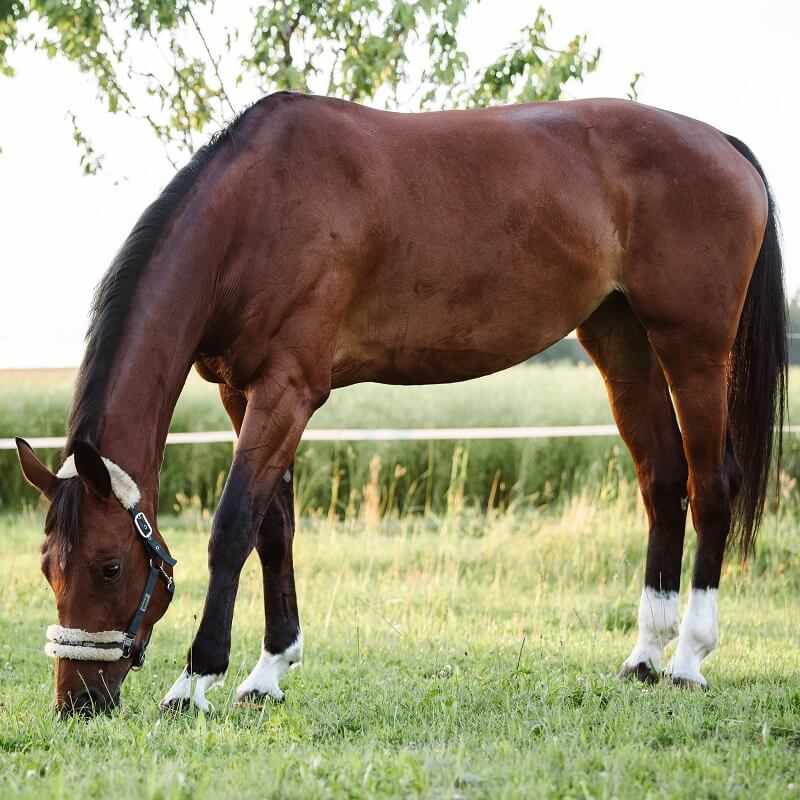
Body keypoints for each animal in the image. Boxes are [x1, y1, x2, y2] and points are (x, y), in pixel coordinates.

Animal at [15, 92, 784, 712]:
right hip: (620, 338)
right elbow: (275, 528)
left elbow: (233, 527)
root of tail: (724, 144)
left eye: (110, 567)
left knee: (712, 485)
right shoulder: (243, 390)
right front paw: (269, 672)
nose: (78, 703)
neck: (259, 208)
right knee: (662, 482)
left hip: (693, 346)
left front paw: (195, 680)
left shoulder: (288, 390)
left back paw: (688, 659)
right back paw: (645, 656)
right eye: (48, 567)